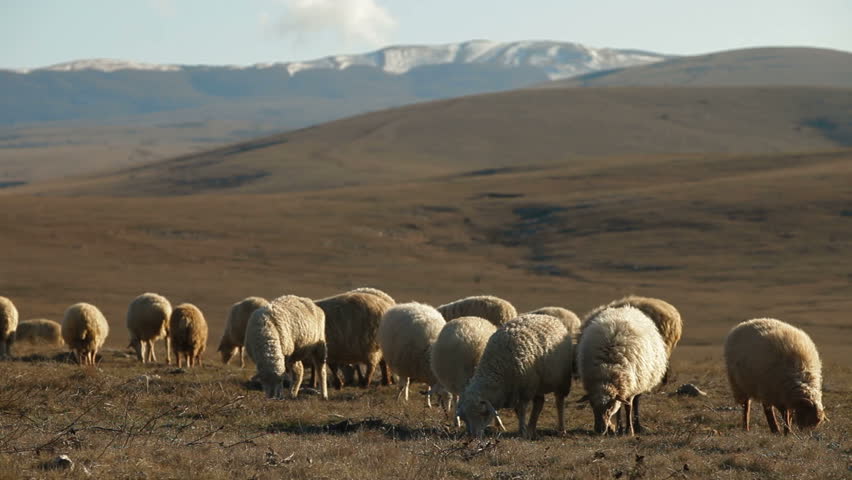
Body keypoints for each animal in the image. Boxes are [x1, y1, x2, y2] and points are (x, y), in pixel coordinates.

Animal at [582, 295, 683, 432]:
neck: (608, 367)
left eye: (610, 405)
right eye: (591, 405)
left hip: (641, 378)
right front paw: (619, 428)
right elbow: (620, 407)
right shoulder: (621, 389)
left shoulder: (629, 385)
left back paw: (636, 425)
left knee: (635, 402)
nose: (600, 429)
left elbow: (628, 406)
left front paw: (629, 430)